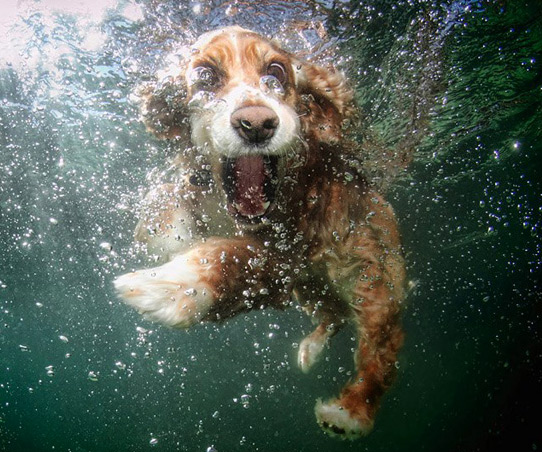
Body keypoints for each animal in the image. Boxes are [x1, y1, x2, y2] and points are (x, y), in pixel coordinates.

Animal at [115, 26, 406, 440]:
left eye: (277, 72)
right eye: (205, 76)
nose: (256, 123)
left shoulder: (285, 254)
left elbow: (234, 255)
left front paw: (178, 285)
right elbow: (169, 197)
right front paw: (165, 230)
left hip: (372, 276)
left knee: (381, 344)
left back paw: (350, 411)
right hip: (311, 289)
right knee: (333, 314)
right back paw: (311, 348)